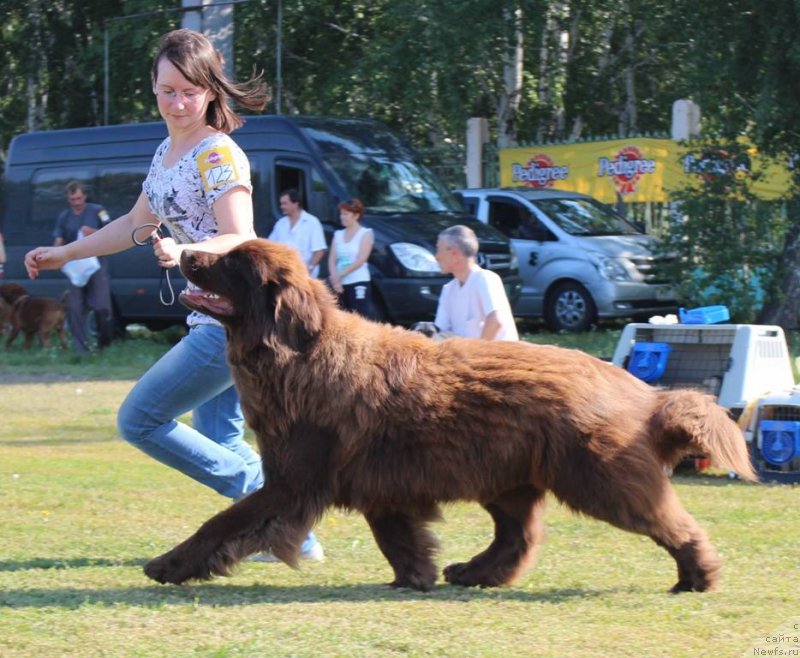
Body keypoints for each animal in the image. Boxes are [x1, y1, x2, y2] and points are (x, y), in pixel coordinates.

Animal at [142, 238, 756, 592]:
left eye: (230, 264)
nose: (183, 253)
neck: (298, 352)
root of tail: (641, 393)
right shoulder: (375, 484)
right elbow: (397, 537)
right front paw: (416, 577)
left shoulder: (295, 480)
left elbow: (224, 521)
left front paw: (168, 564)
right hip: (508, 480)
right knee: (518, 537)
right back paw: (473, 573)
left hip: (597, 478)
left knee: (671, 524)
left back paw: (698, 577)